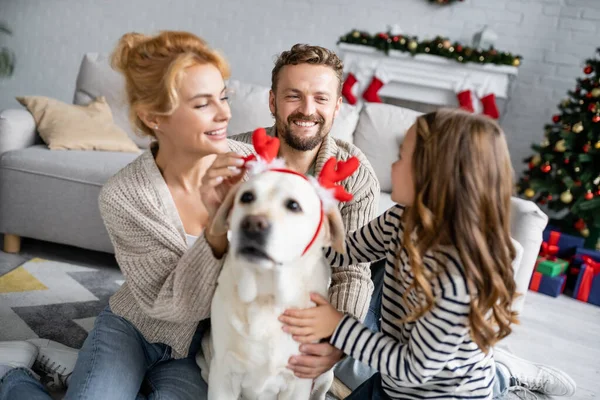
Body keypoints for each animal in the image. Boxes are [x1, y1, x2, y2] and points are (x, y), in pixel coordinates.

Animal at [197, 164, 346, 398]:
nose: (251, 224)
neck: (266, 296)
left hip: (325, 375)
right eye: (247, 197)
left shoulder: (298, 382)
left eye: (293, 205)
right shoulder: (223, 374)